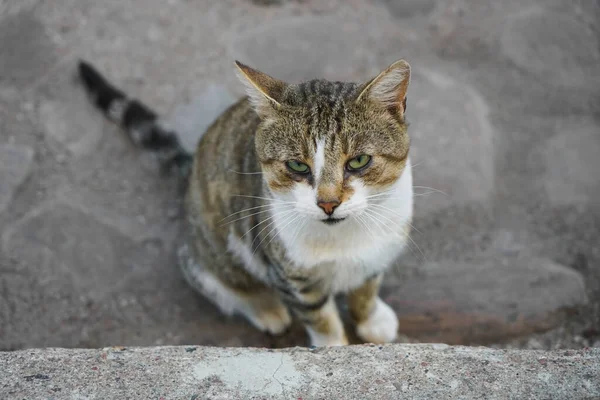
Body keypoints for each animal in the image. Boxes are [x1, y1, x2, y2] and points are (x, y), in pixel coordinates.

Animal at [78, 57, 412, 346]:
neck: (345, 236)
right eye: (297, 166)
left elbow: (366, 289)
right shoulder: (289, 273)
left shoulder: (381, 248)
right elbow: (320, 317)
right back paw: (266, 308)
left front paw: (371, 319)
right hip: (212, 253)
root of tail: (191, 173)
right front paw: (333, 346)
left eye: (359, 161)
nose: (328, 203)